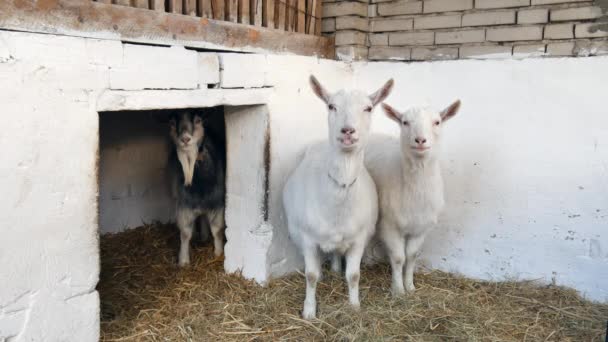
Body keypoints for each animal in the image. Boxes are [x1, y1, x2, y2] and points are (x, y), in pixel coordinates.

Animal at [282, 75, 392, 320]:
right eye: (331, 106)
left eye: (368, 108)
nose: (347, 131)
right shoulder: (308, 238)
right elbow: (311, 275)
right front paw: (309, 311)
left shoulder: (359, 238)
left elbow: (354, 275)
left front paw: (354, 306)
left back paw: (335, 269)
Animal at [366, 100, 460, 296]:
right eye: (405, 122)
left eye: (437, 122)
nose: (420, 140)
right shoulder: (389, 224)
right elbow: (398, 257)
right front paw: (398, 290)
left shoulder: (422, 228)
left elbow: (411, 256)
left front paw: (410, 286)